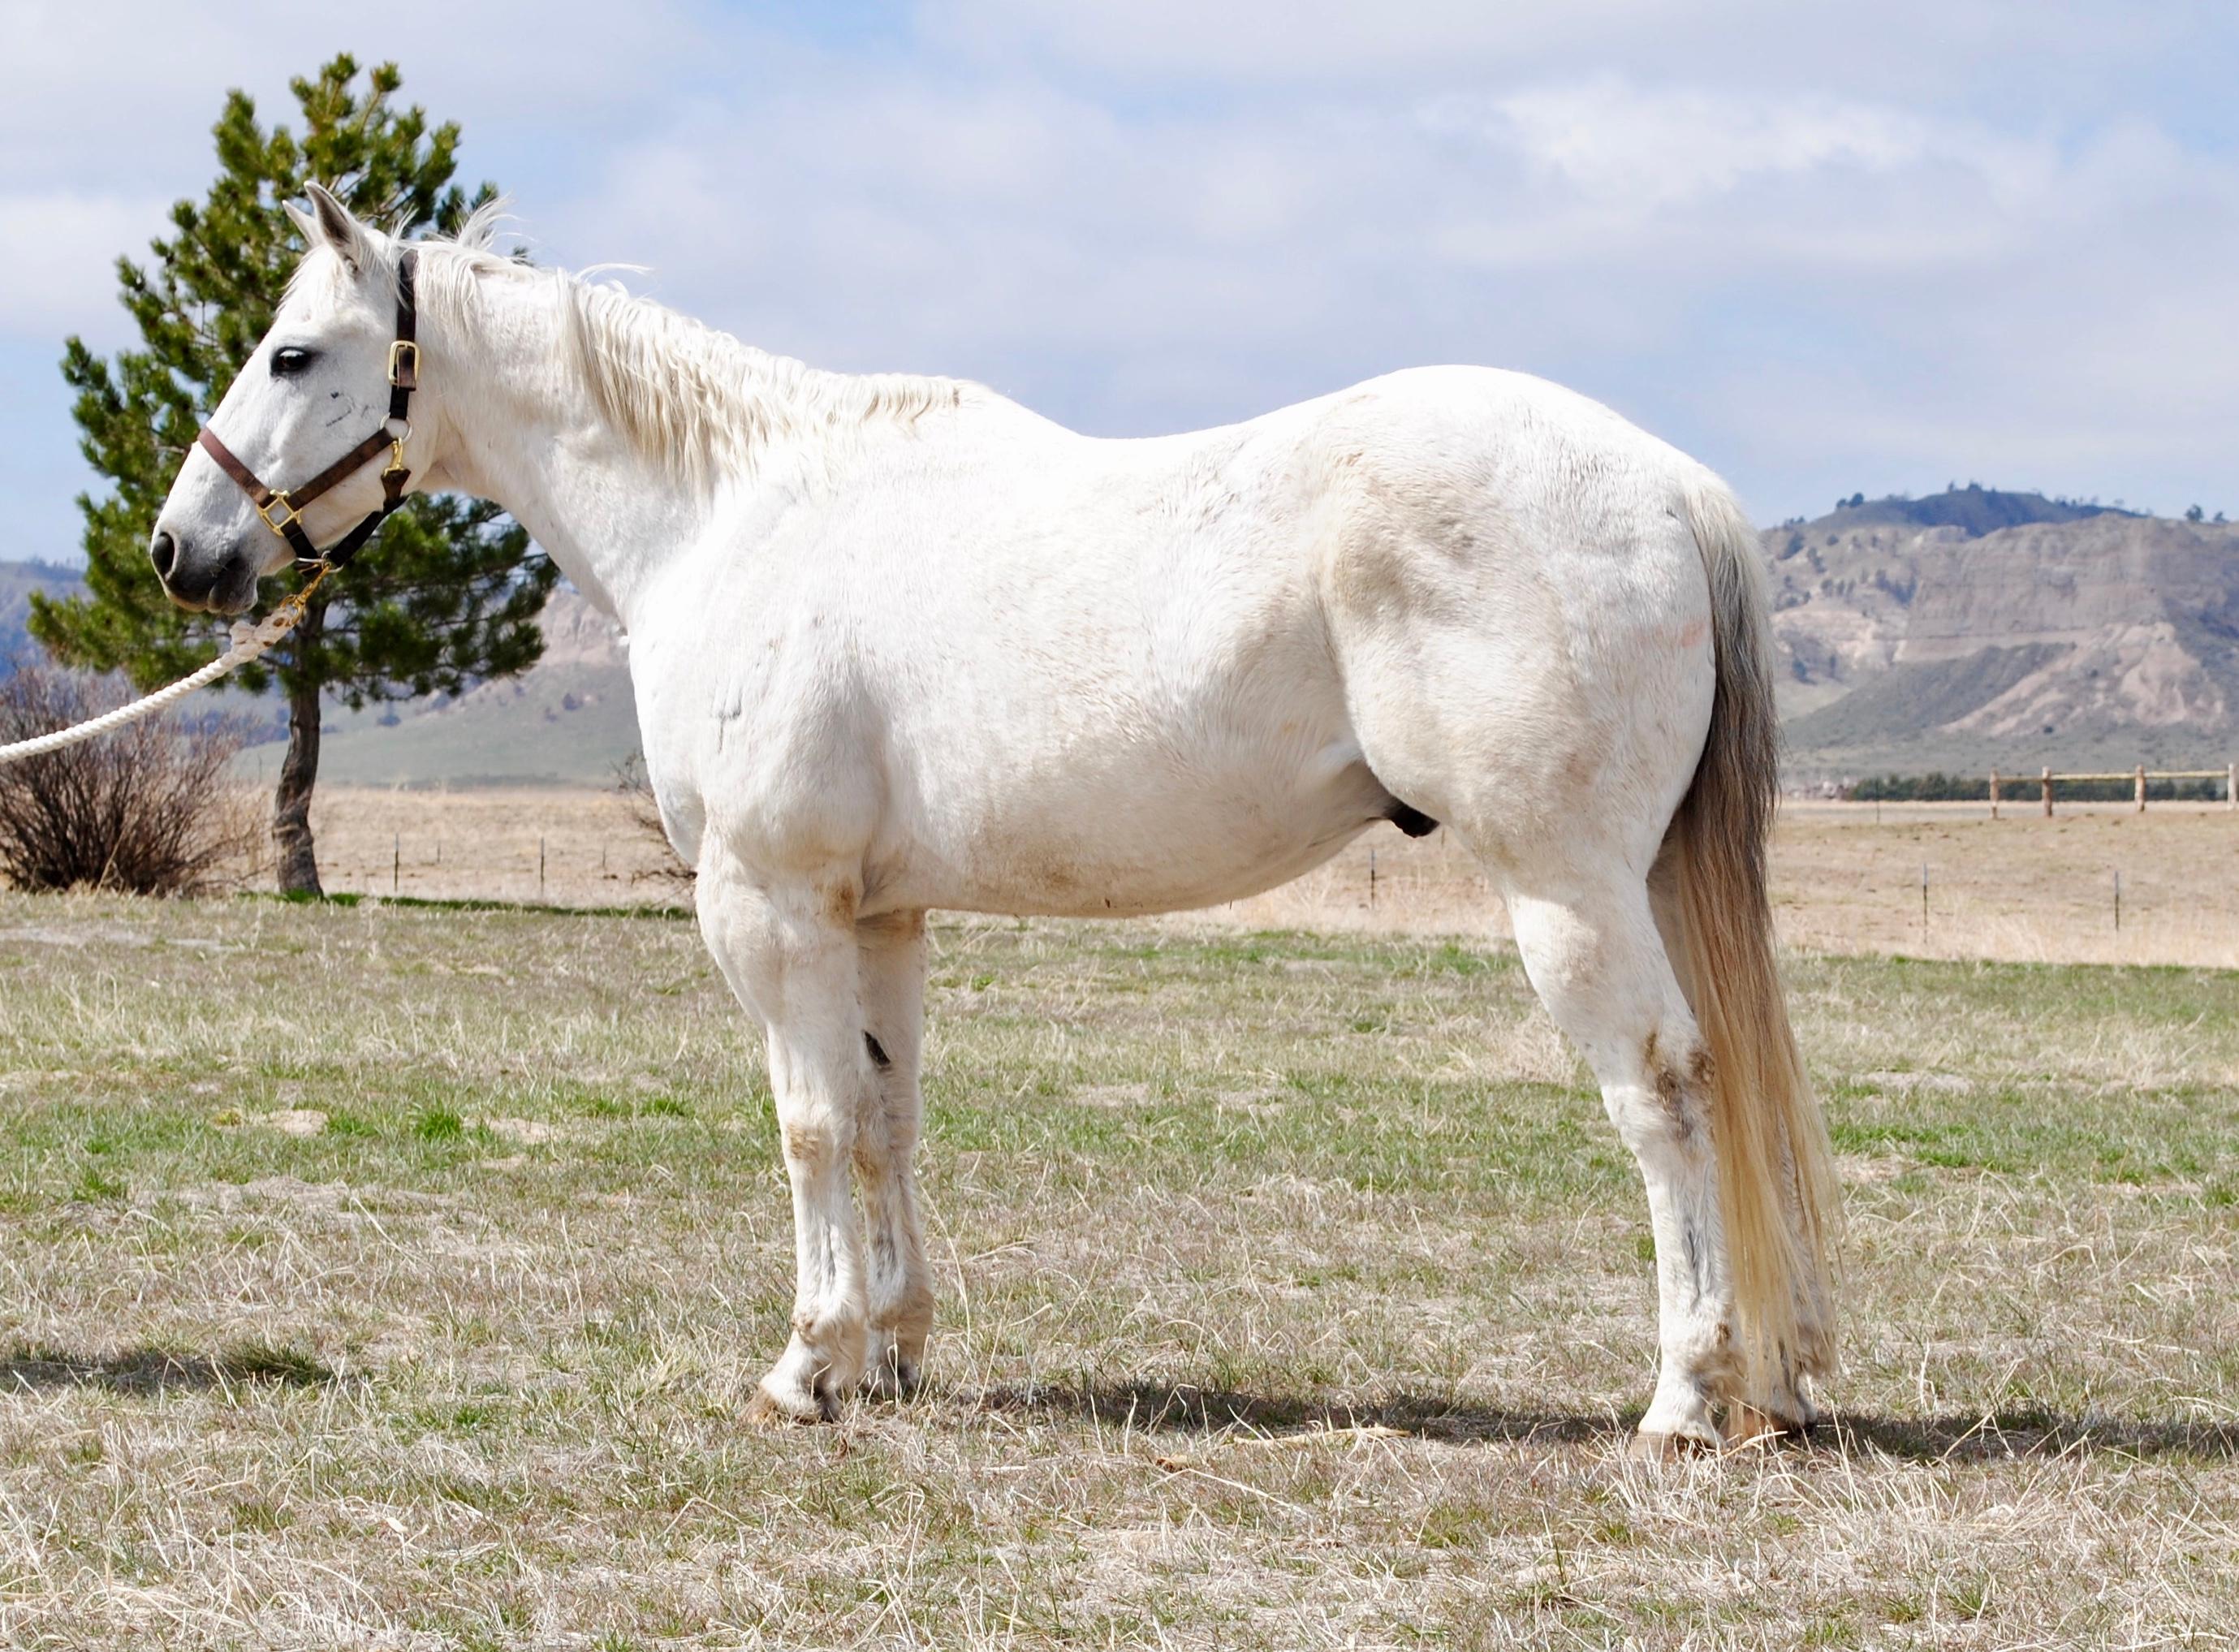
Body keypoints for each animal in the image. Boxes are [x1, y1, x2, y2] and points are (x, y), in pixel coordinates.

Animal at [153, 190, 1836, 1450]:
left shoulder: (765, 904)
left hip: (1567, 891)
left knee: (1664, 1090)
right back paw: (1771, 1380)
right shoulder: (880, 913)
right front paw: (893, 1353)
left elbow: (808, 1121)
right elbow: (885, 1115)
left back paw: (1683, 1398)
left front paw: (804, 1365)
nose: (183, 551)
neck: (732, 519)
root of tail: (1667, 486)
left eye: (293, 353)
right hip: (1642, 878)